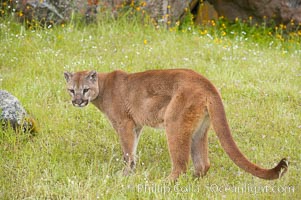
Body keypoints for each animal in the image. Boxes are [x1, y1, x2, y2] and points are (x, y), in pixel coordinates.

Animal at [63, 69, 288, 180]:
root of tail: (207, 83)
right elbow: (133, 150)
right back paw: (193, 183)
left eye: (85, 89)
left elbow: (127, 152)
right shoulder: (136, 125)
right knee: (203, 163)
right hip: (199, 129)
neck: (102, 87)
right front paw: (130, 172)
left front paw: (125, 174)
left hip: (175, 123)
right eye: (71, 90)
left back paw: (164, 183)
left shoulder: (124, 123)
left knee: (181, 165)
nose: (77, 101)